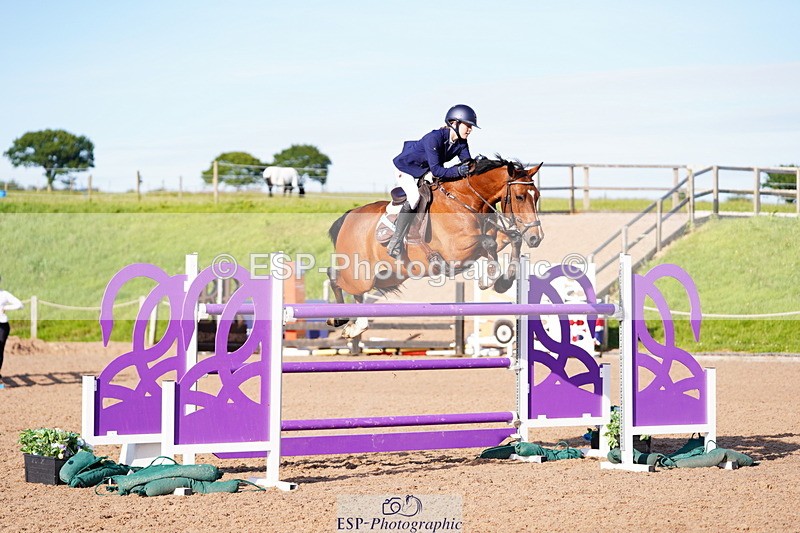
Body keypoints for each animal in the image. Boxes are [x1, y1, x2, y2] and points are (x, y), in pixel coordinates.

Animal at [326, 156, 543, 338]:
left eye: (537, 196)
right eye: (520, 197)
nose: (536, 237)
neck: (465, 200)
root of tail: (348, 216)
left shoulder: (486, 240)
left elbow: (513, 238)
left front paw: (504, 281)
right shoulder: (456, 250)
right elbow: (488, 243)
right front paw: (488, 279)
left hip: (390, 275)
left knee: (350, 287)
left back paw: (352, 325)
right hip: (360, 275)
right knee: (336, 277)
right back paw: (342, 320)